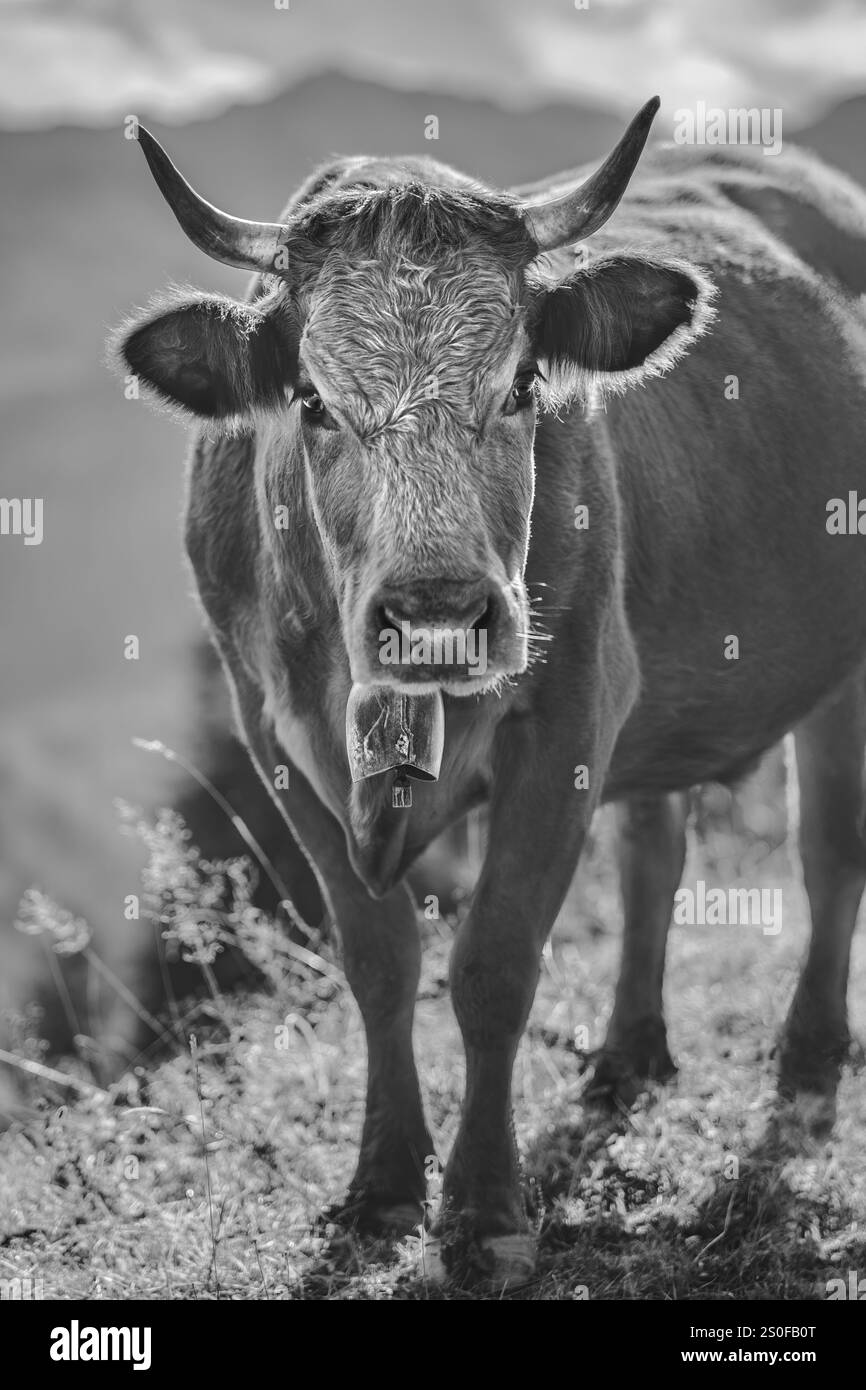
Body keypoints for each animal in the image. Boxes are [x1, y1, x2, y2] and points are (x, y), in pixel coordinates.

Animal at [114, 97, 866, 1285]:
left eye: (519, 387)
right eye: (311, 400)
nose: (436, 609)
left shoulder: (564, 714)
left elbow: (494, 964)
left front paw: (481, 1206)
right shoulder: (273, 735)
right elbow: (379, 959)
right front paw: (382, 1184)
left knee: (828, 847)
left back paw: (806, 1050)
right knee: (655, 847)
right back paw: (628, 1054)